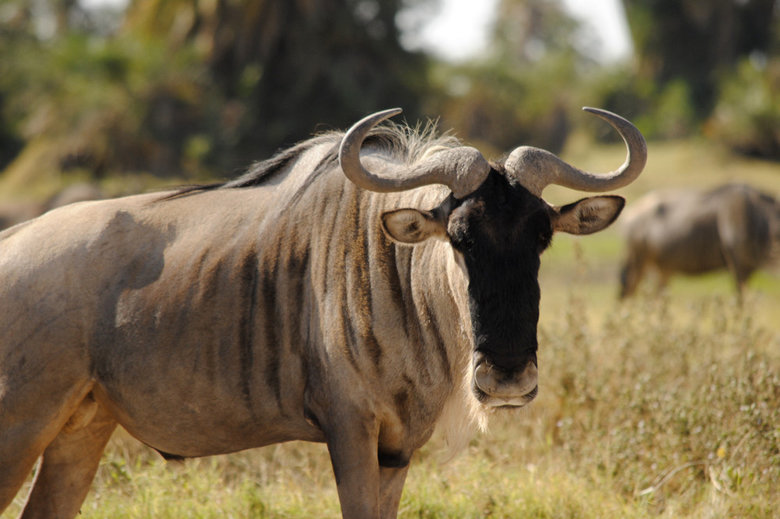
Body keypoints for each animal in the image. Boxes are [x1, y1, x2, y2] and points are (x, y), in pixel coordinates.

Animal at [0, 107, 646, 519]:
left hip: (80, 431)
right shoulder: (350, 432)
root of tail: (11, 243)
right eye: (460, 237)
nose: (507, 376)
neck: (393, 272)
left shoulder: (397, 448)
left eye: (542, 236)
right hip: (21, 429)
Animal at [619, 183, 780, 299]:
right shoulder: (739, 264)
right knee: (628, 291)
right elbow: (741, 299)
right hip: (639, 260)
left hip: (662, 267)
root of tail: (630, 214)